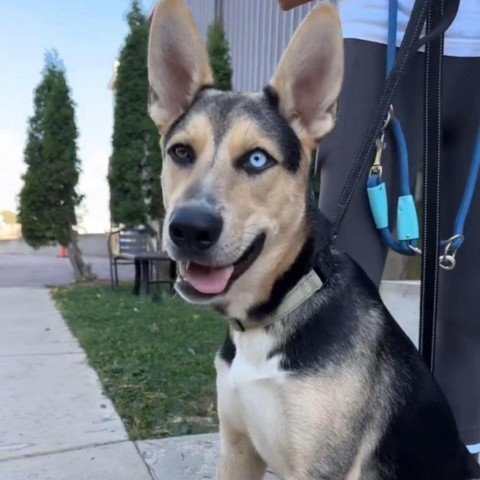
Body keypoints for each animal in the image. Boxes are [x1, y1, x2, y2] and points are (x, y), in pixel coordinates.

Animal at [146, 0, 480, 480]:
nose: (190, 229)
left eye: (257, 159)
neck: (276, 311)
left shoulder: (320, 466)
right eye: (180, 152)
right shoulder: (237, 449)